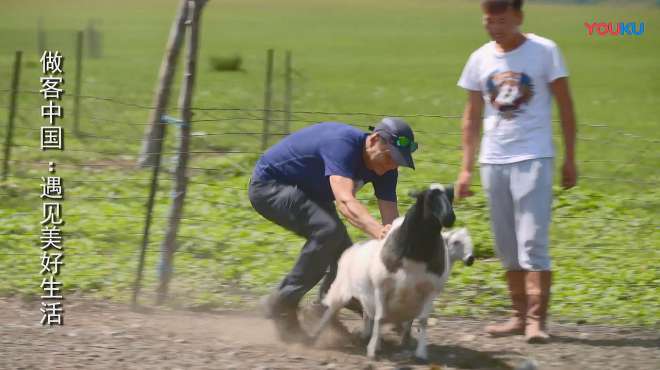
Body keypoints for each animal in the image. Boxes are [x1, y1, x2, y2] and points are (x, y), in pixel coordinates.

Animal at [312, 184, 472, 362]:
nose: (449, 217)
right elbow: (380, 317)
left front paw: (420, 352)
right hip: (341, 290)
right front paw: (372, 351)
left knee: (367, 315)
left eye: (451, 197)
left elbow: (422, 321)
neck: (415, 256)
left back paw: (368, 336)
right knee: (331, 310)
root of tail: (352, 248)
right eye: (428, 197)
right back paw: (315, 335)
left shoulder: (429, 291)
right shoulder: (382, 288)